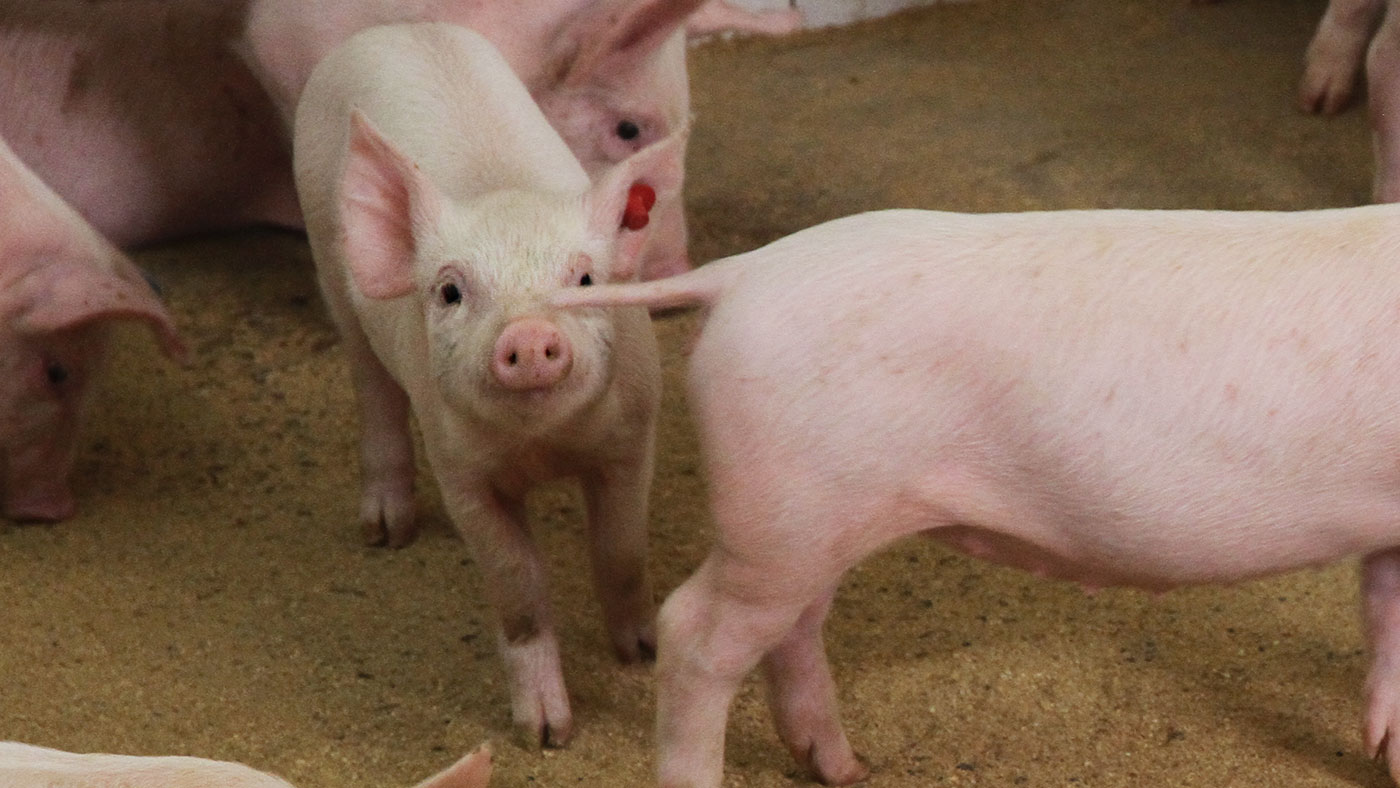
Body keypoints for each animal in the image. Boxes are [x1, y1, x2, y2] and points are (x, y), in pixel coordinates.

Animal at [293, 22, 682, 746]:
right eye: (450, 291)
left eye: (585, 280)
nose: (526, 335)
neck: (544, 448)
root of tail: (392, 28)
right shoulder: (461, 471)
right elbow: (518, 586)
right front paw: (547, 735)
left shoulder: (633, 434)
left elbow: (620, 549)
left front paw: (642, 655)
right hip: (332, 267)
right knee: (372, 387)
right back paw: (386, 533)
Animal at [552, 205, 1400, 786]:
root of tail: (742, 273)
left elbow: (1384, 630)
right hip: (782, 519)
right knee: (695, 633)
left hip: (806, 516)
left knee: (792, 631)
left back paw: (846, 768)